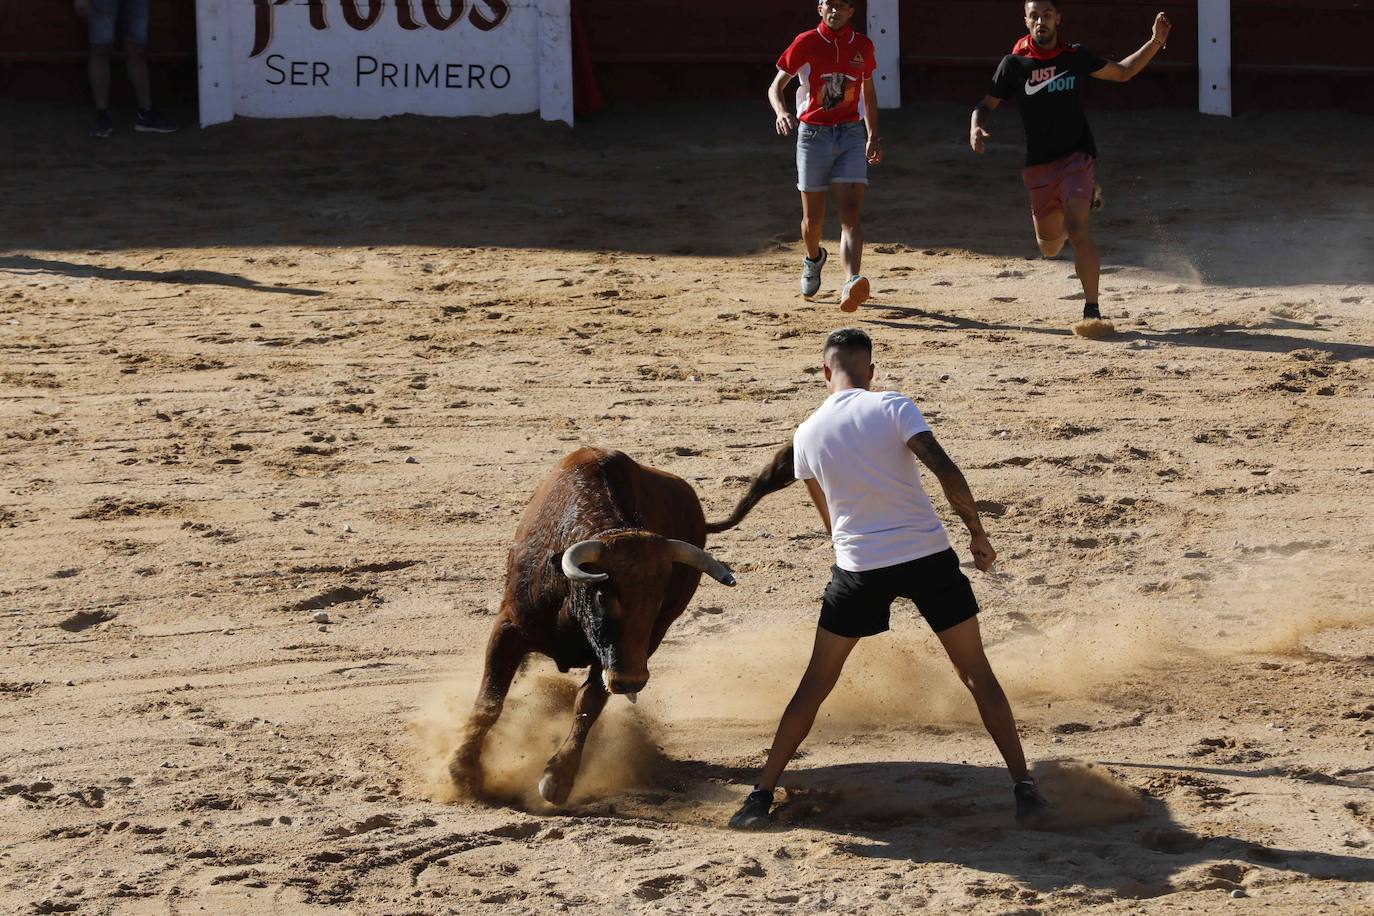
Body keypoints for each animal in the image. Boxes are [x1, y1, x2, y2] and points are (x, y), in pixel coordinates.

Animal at [450, 447, 747, 807]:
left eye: (658, 600)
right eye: (604, 594)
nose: (631, 680)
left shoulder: (615, 658)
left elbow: (587, 704)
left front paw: (557, 778)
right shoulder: (509, 627)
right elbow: (489, 701)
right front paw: (462, 770)